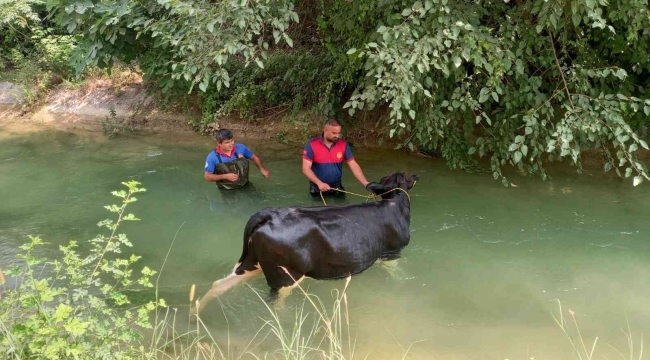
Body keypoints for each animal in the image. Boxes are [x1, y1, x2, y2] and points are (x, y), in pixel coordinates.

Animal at [192, 172, 418, 316]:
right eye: (405, 175)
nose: (415, 176)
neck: (394, 204)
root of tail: (268, 214)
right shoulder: (392, 253)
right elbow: (399, 274)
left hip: (252, 262)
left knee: (220, 284)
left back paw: (195, 314)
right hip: (286, 275)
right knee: (275, 303)